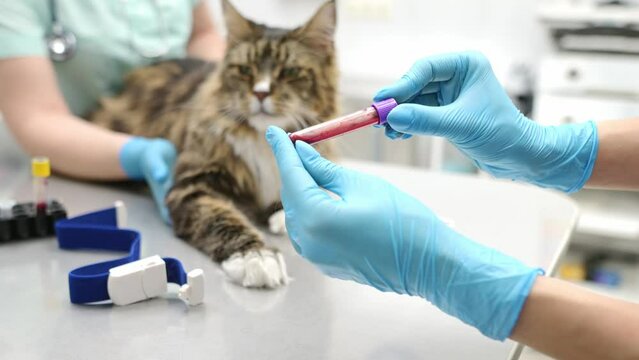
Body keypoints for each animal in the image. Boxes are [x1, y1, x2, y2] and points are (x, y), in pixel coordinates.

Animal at [91, 0, 340, 286]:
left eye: (290, 71)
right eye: (245, 70)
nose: (260, 93)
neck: (262, 140)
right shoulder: (195, 185)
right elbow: (222, 218)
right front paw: (255, 256)